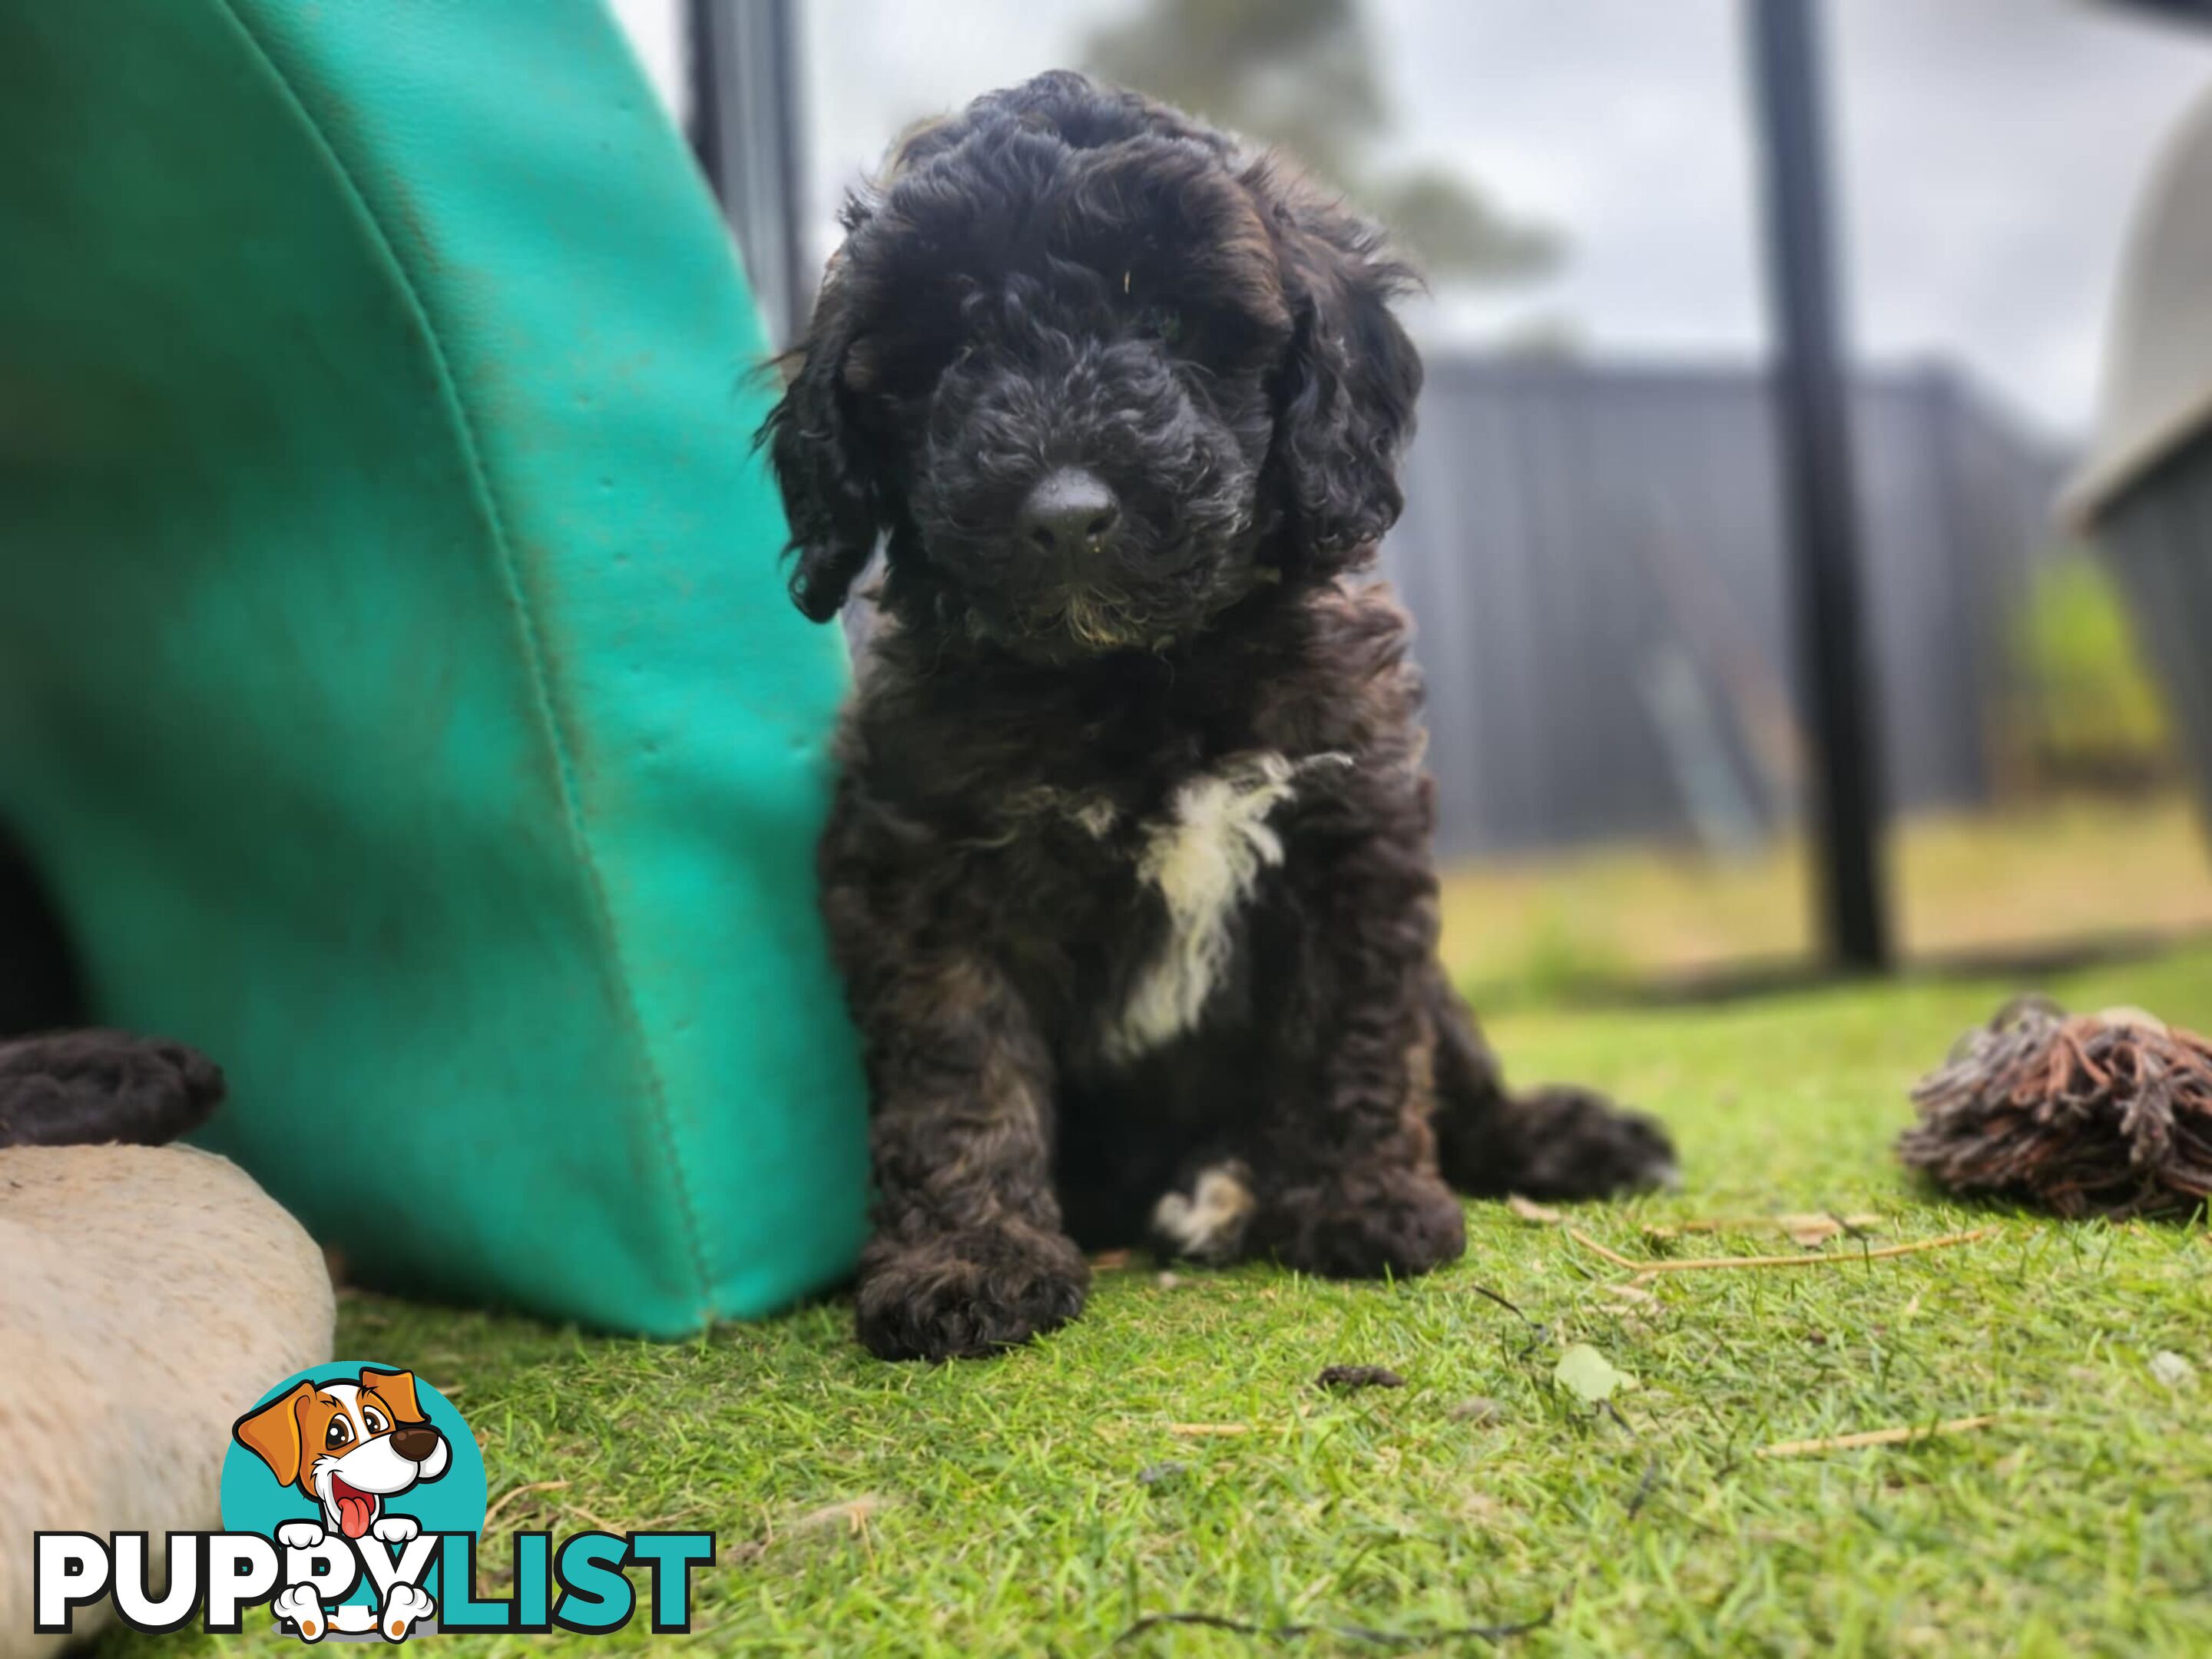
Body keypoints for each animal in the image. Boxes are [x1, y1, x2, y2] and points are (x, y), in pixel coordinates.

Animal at [765, 71, 1672, 1363]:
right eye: (957, 349)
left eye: (1167, 325)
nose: (1066, 512)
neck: (1143, 675)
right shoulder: (930, 868)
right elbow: (960, 1067)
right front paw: (971, 1259)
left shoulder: (1350, 828)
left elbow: (1358, 1026)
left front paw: (1364, 1202)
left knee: (1454, 1056)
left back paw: (1558, 1138)